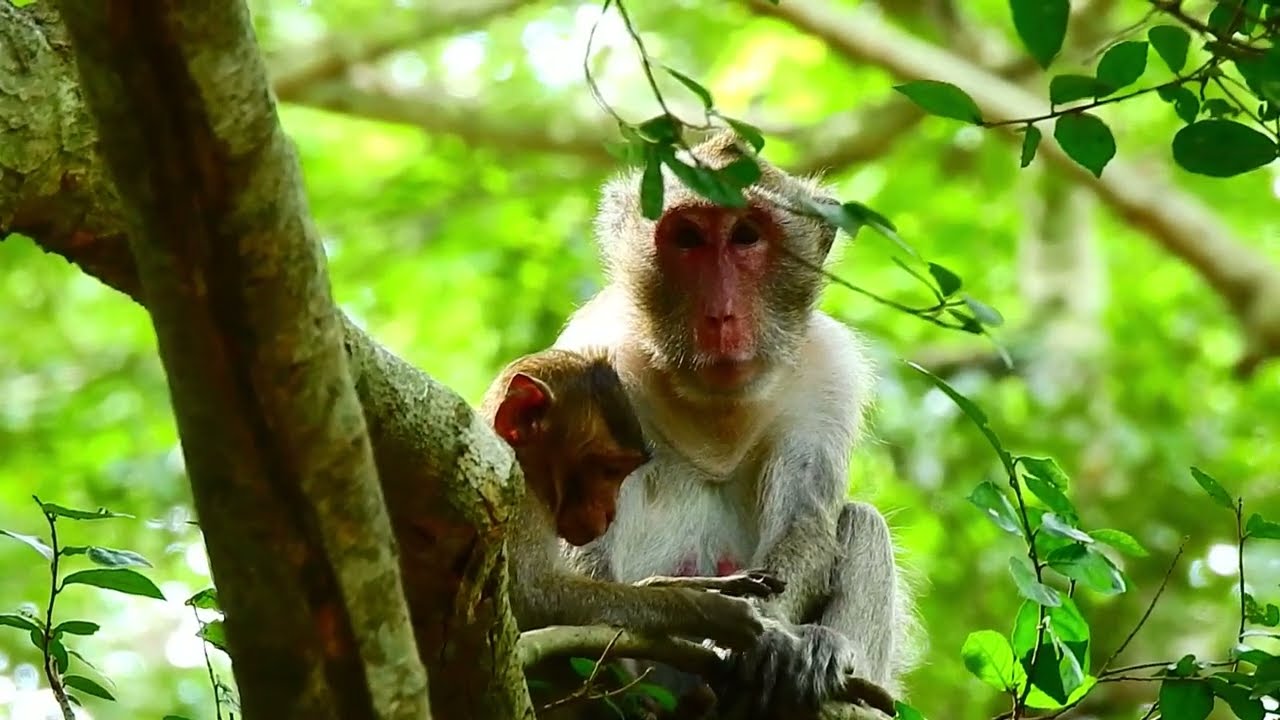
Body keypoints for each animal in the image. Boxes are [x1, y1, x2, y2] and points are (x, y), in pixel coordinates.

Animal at [479, 347, 787, 653]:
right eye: (608, 470)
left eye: (619, 472)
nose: (610, 512)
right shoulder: (517, 503)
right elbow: (532, 599)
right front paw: (708, 609)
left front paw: (714, 585)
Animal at [552, 131, 921, 718]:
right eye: (687, 238)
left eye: (747, 236)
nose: (721, 315)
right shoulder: (591, 355)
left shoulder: (827, 373)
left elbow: (806, 523)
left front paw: (775, 642)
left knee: (863, 523)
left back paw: (826, 654)